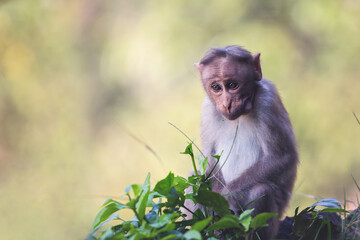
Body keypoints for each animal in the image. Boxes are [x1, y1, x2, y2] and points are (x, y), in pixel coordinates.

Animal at [194, 46, 298, 239]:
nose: (227, 103)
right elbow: (209, 161)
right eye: (216, 87)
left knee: (262, 190)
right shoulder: (208, 109)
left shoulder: (267, 100)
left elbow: (282, 157)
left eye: (233, 85)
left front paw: (228, 197)